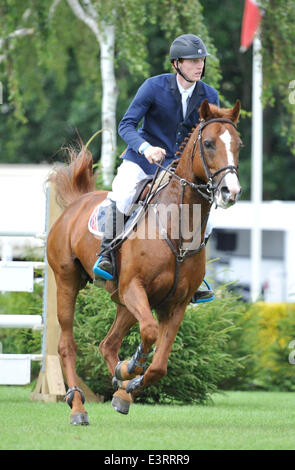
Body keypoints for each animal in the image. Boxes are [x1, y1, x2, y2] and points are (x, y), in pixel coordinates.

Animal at [48, 97, 243, 424]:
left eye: (238, 144)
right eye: (208, 143)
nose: (231, 191)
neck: (177, 226)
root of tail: (76, 202)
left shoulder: (174, 304)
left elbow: (159, 365)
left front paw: (130, 382)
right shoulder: (134, 287)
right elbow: (150, 333)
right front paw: (131, 367)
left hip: (124, 301)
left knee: (108, 344)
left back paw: (121, 386)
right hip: (69, 282)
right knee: (67, 345)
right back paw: (78, 406)